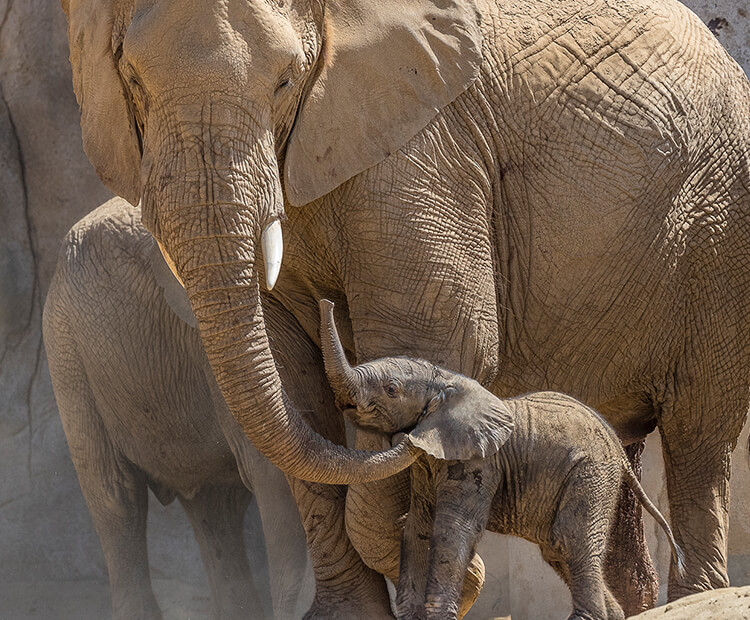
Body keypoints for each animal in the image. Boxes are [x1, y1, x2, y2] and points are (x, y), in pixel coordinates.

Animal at [320, 298, 684, 616]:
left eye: (391, 389)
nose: (328, 303)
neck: (447, 379)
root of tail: (616, 445)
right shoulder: (427, 465)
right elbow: (418, 528)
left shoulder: (479, 462)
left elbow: (452, 530)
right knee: (555, 549)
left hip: (591, 470)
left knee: (569, 539)